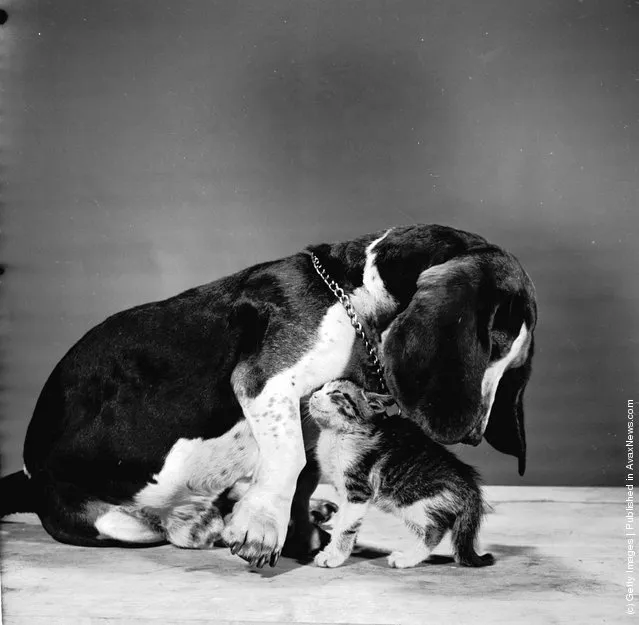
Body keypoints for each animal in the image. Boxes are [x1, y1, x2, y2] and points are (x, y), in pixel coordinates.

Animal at [308, 378, 496, 568]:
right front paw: (329, 550)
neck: (336, 435)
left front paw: (336, 556)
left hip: (413, 501)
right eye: (321, 389)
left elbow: (346, 525)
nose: (313, 395)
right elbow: (340, 521)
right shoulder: (344, 492)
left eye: (336, 393)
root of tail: (470, 483)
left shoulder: (358, 491)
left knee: (435, 530)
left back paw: (406, 559)